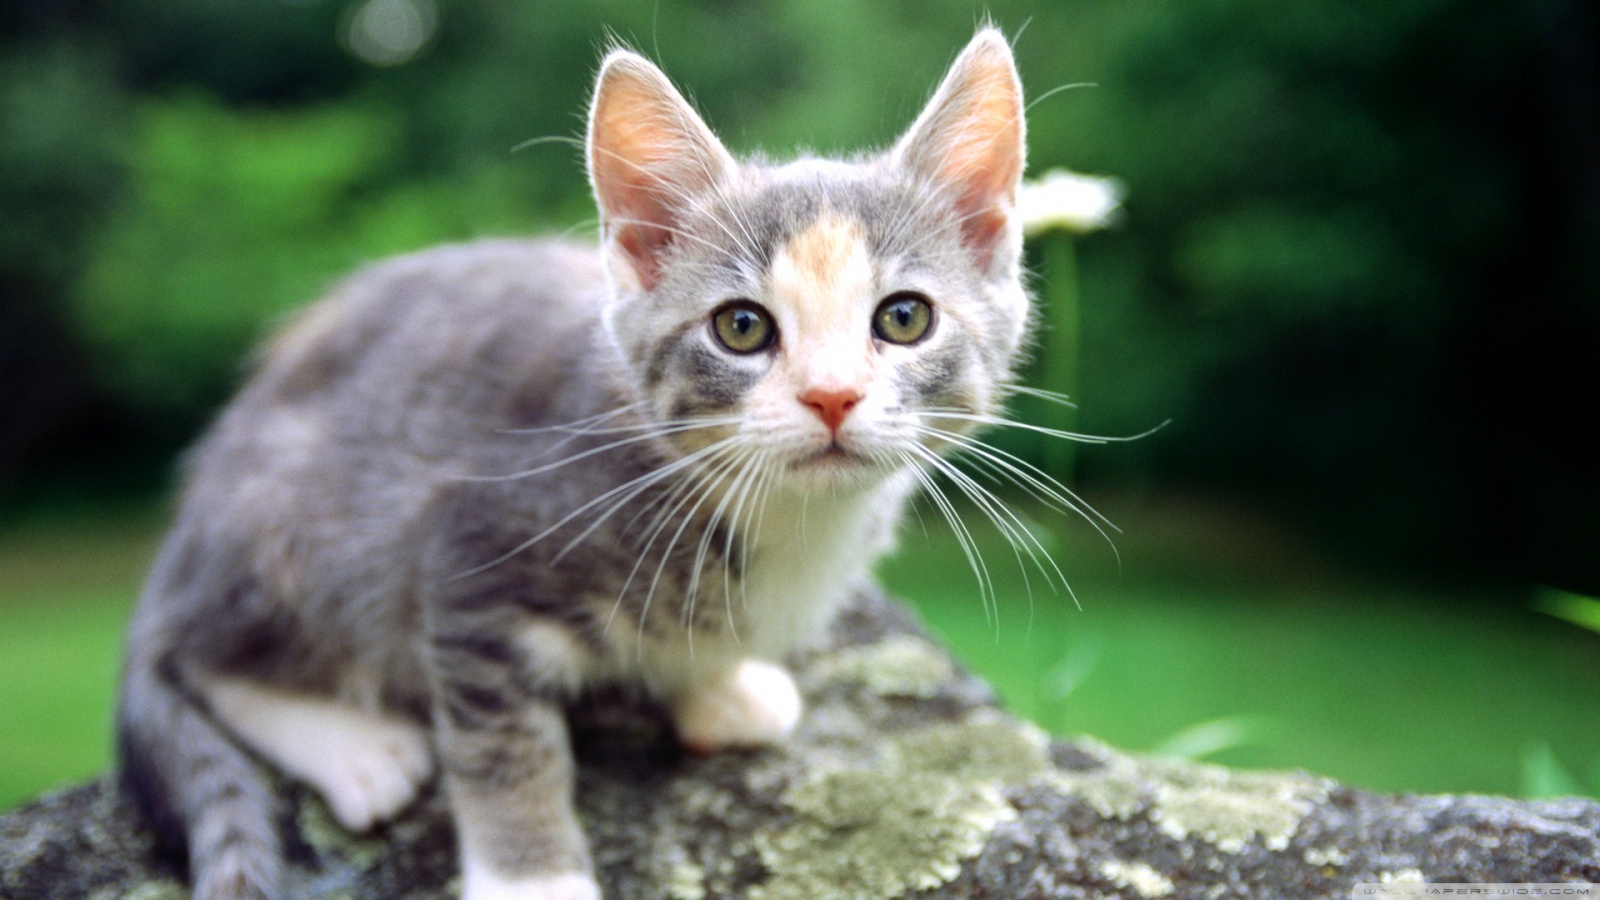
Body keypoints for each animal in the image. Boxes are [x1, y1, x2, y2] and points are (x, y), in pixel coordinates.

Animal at [116, 28, 1036, 896]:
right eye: (740, 327)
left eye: (905, 318)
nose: (833, 395)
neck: (786, 521)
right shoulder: (472, 547)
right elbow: (504, 741)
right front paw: (534, 877)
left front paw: (716, 685)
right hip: (303, 523)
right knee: (199, 657)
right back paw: (357, 750)